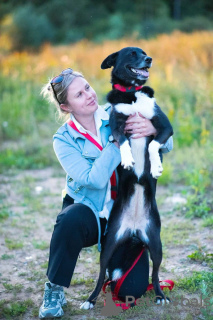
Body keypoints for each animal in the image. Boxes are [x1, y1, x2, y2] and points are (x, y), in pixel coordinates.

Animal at [81, 46, 173, 308]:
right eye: (132, 54)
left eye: (144, 52)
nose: (149, 59)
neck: (132, 95)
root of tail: (133, 229)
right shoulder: (117, 124)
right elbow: (122, 141)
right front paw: (128, 160)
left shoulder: (164, 126)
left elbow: (153, 144)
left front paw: (155, 167)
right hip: (108, 246)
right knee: (101, 275)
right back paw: (90, 299)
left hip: (156, 245)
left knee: (155, 274)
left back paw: (161, 296)